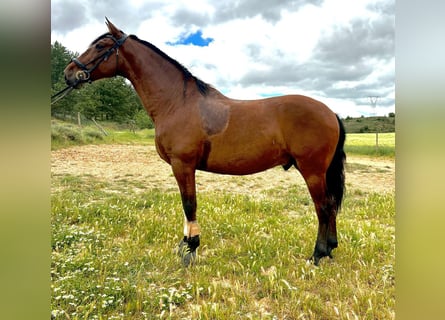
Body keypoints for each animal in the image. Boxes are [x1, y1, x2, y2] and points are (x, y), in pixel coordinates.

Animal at [62, 18, 346, 266]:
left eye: (101, 46)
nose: (69, 73)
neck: (177, 102)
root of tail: (330, 112)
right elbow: (186, 205)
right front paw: (184, 245)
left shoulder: (183, 164)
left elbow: (190, 204)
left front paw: (190, 250)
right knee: (331, 206)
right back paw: (330, 248)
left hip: (312, 170)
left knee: (323, 207)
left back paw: (318, 254)